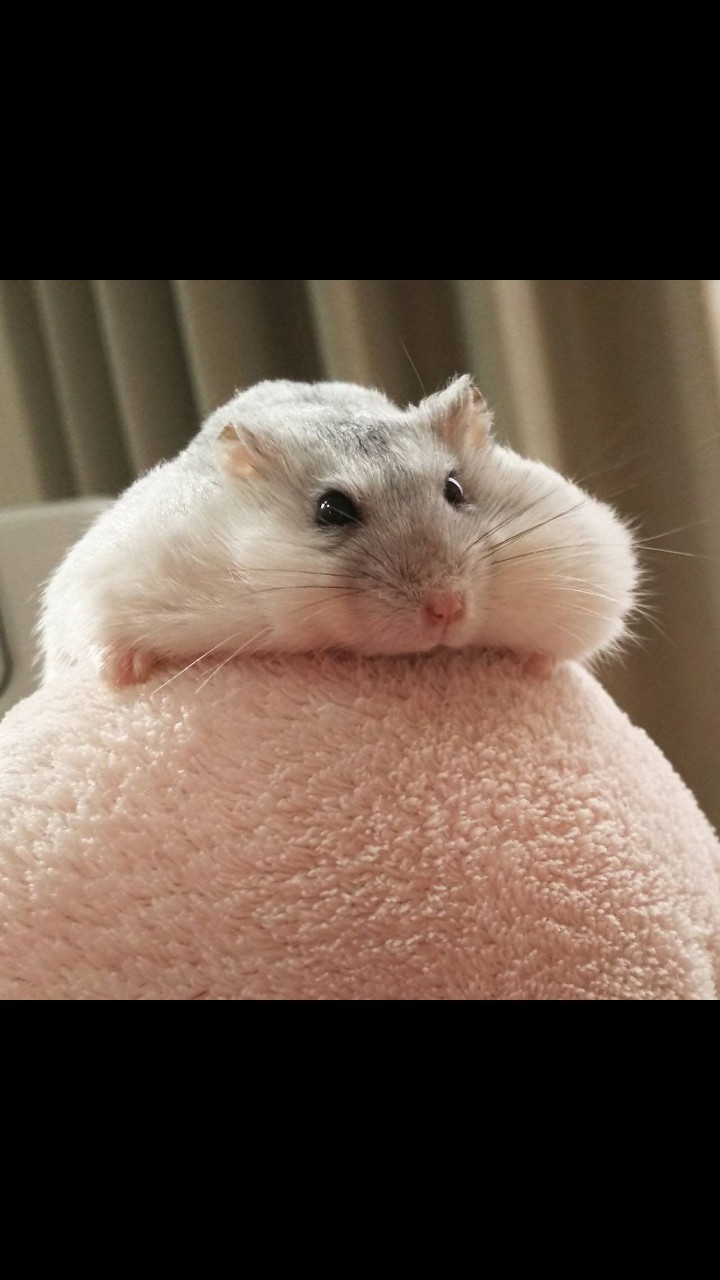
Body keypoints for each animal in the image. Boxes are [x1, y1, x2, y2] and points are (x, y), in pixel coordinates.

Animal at [39, 375, 639, 688]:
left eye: (455, 489)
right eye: (332, 509)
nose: (447, 608)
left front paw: (536, 665)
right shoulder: (104, 580)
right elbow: (104, 639)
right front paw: (124, 676)